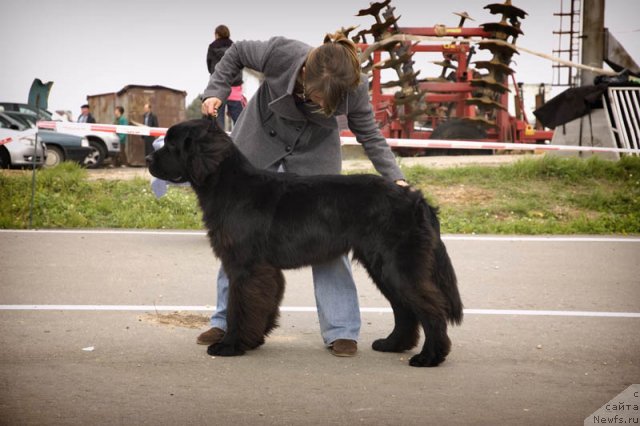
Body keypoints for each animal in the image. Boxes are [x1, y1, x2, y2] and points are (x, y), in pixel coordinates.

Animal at [148, 119, 462, 366]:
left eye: (172, 145)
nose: (148, 160)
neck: (228, 185)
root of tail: (416, 198)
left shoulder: (246, 266)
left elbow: (240, 305)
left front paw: (231, 345)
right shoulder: (263, 270)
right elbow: (261, 304)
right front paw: (254, 339)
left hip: (397, 265)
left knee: (431, 308)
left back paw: (429, 357)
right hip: (383, 267)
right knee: (405, 308)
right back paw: (393, 344)